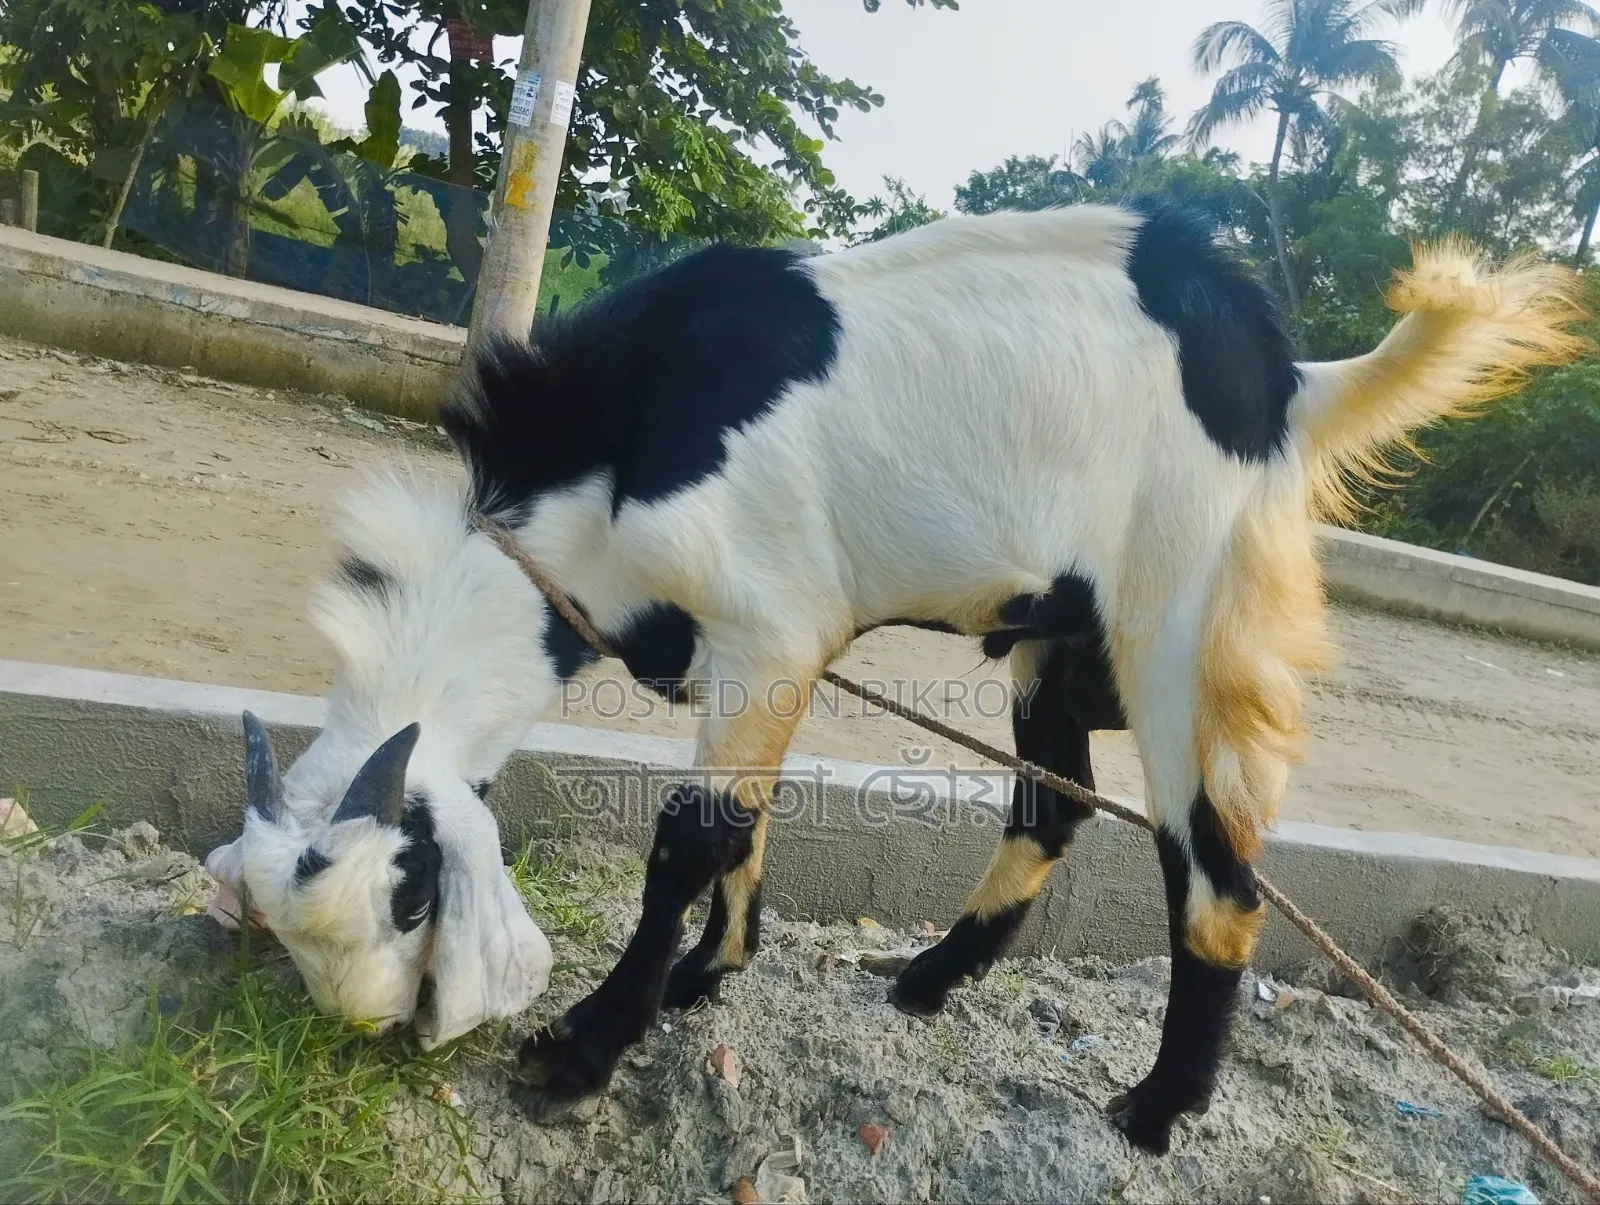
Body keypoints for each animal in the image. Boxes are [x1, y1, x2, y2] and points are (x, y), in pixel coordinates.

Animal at [213, 201, 1583, 1152]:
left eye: (408, 894)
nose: (364, 1024)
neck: (605, 456)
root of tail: (1283, 380)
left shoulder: (768, 624)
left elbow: (689, 836)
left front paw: (583, 1049)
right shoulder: (766, 655)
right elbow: (745, 820)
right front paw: (714, 972)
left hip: (1186, 618)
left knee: (1214, 864)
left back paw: (1150, 1108)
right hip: (1053, 638)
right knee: (1052, 804)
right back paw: (924, 982)